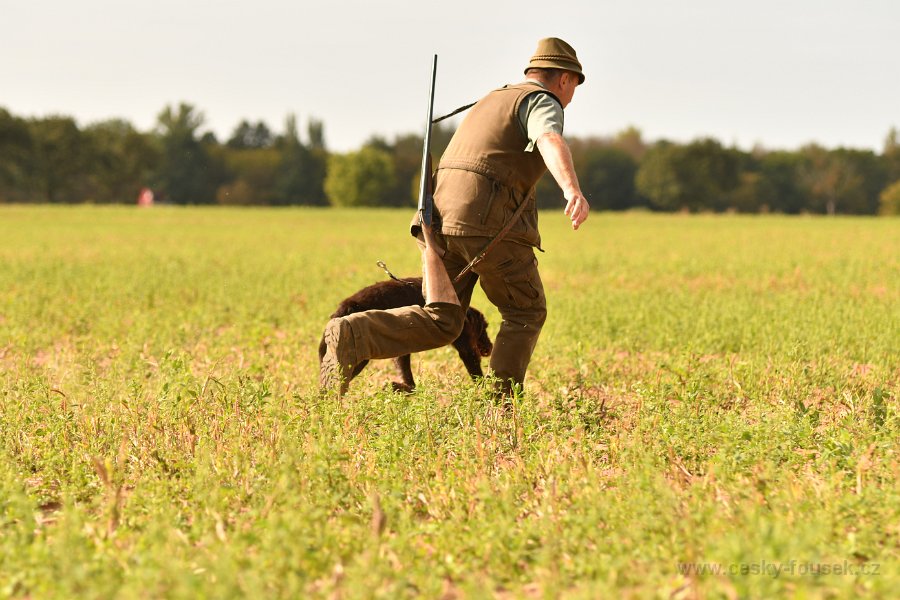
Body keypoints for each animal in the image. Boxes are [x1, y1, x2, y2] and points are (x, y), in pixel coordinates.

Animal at [318, 278, 492, 394]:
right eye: (485, 328)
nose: (490, 347)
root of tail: (346, 307)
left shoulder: (401, 349)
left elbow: (408, 379)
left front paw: (398, 388)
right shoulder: (466, 349)